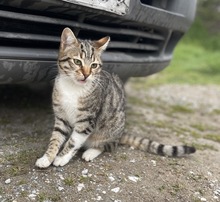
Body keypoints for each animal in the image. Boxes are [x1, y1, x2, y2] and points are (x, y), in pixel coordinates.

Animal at [34, 27, 196, 168]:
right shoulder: (61, 117)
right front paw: (47, 158)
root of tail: (121, 133)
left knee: (108, 146)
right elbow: (56, 138)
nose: (86, 74)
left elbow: (73, 141)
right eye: (77, 61)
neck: (72, 88)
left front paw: (61, 158)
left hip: (108, 130)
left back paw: (90, 152)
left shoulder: (87, 121)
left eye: (94, 66)